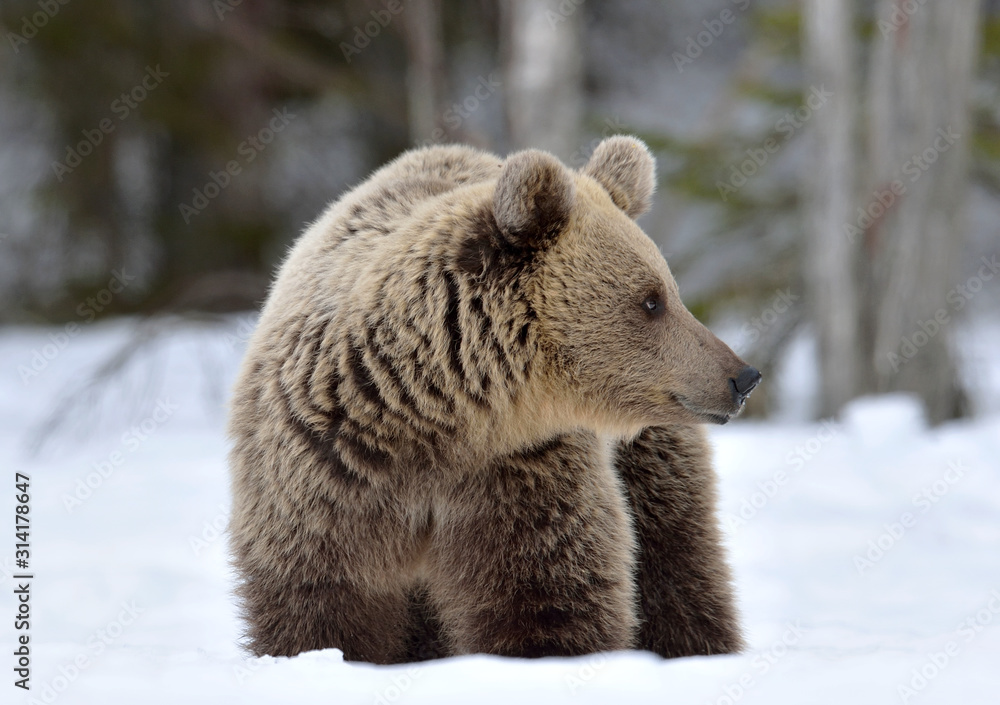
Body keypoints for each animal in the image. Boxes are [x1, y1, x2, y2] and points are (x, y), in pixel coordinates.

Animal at [227, 135, 760, 663]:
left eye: (669, 291)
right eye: (651, 300)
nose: (743, 376)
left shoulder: (520, 469)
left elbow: (543, 591)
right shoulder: (329, 472)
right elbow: (319, 600)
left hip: (645, 455)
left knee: (674, 542)